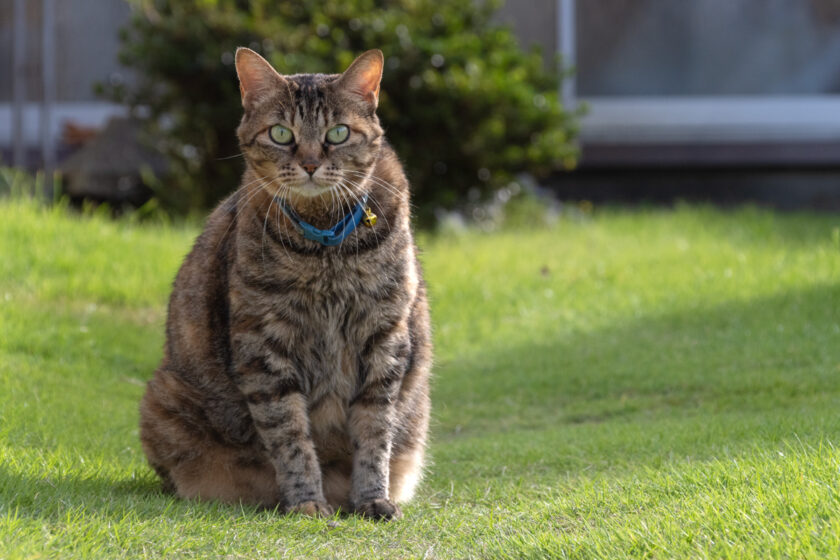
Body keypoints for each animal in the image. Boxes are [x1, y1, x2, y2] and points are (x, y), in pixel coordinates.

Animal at [139, 48, 434, 520]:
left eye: (337, 133)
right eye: (281, 134)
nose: (310, 163)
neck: (325, 244)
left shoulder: (384, 336)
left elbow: (374, 431)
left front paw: (372, 498)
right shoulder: (264, 345)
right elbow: (290, 434)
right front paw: (307, 501)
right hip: (161, 397)